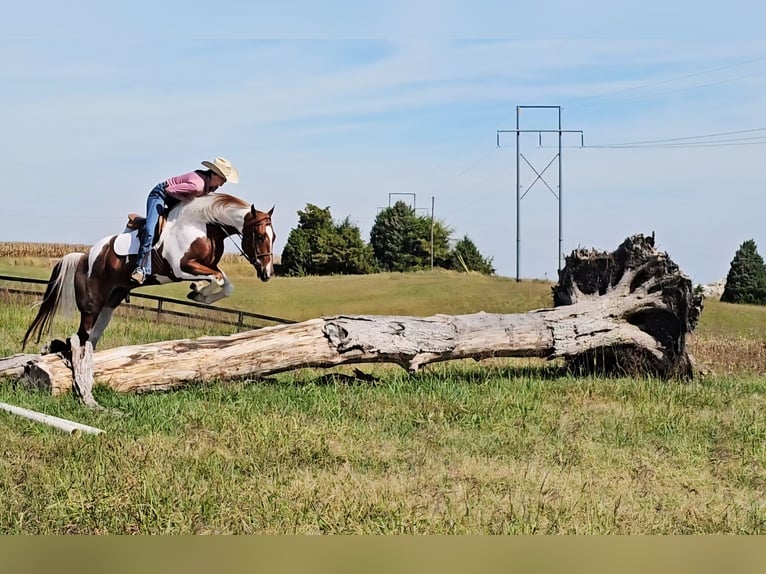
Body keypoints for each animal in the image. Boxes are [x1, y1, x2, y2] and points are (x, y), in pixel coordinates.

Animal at [22, 193, 276, 351]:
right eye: (260, 236)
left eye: (273, 237)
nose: (267, 273)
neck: (203, 226)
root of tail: (84, 257)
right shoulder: (181, 268)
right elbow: (218, 278)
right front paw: (198, 290)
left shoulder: (205, 265)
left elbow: (226, 283)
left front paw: (199, 292)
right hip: (91, 306)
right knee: (81, 336)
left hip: (110, 302)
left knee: (92, 336)